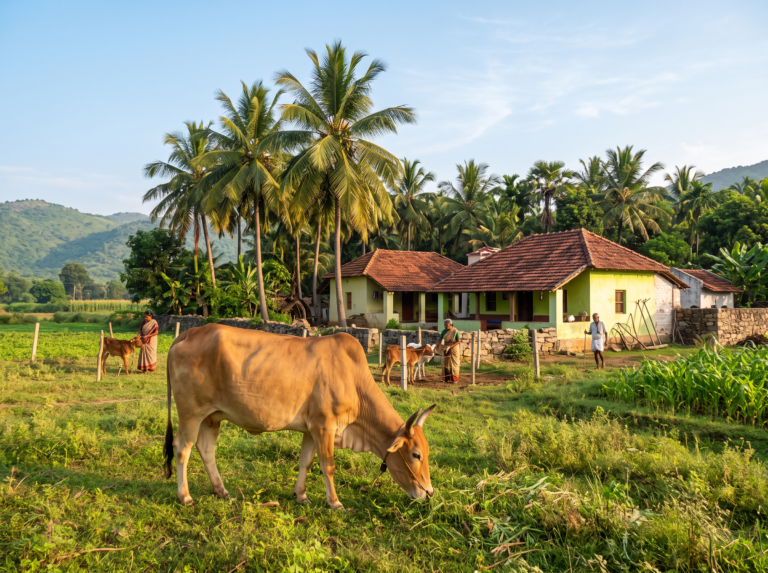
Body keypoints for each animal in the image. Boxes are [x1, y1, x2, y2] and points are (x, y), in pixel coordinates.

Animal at [163, 324, 436, 509]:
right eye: (415, 455)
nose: (429, 493)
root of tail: (187, 333)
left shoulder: (311, 429)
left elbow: (306, 461)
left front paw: (301, 495)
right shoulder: (325, 426)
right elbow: (328, 466)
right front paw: (334, 502)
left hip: (212, 417)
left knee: (205, 449)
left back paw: (221, 491)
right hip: (190, 414)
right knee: (182, 448)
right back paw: (185, 496)